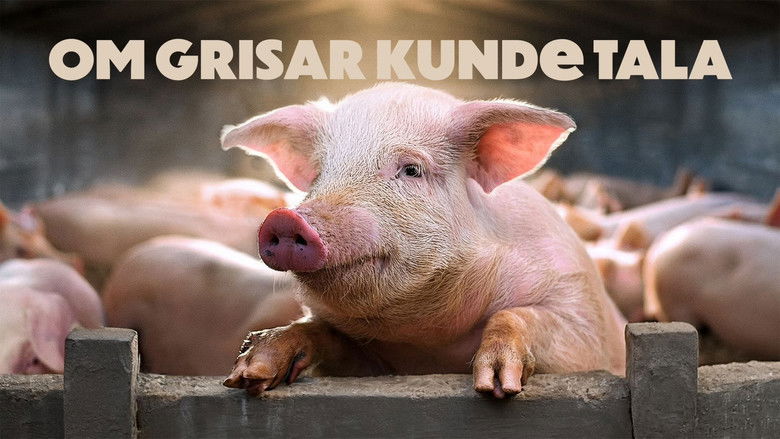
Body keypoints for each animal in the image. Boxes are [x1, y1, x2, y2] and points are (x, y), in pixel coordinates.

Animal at [220, 83, 626, 398]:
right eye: (320, 173)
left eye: (412, 169)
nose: (286, 219)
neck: (429, 343)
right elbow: (320, 332)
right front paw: (248, 373)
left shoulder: (581, 316)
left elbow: (521, 317)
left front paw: (496, 386)